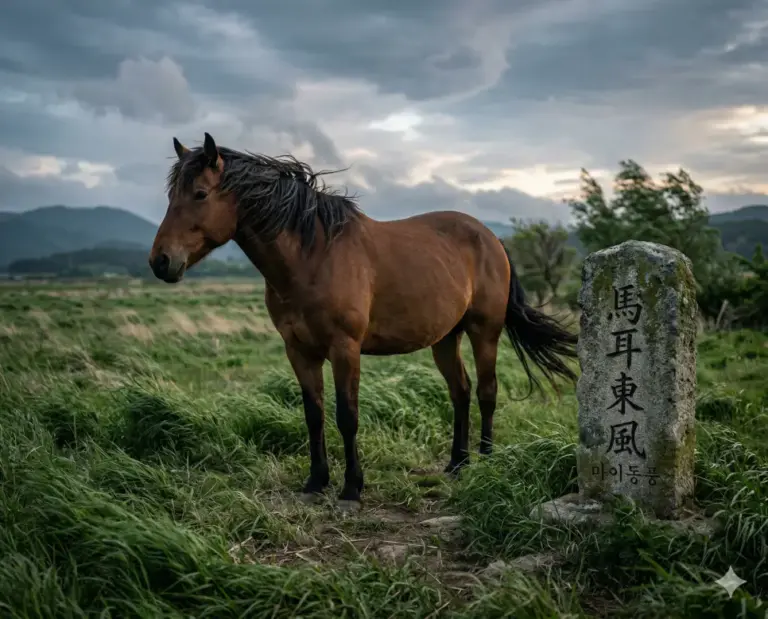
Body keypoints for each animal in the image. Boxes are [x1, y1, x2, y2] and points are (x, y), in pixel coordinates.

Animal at [149, 132, 578, 507]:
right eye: (171, 196)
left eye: (200, 194)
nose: (161, 261)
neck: (313, 257)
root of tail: (491, 237)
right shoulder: (298, 351)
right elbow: (314, 415)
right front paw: (315, 482)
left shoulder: (345, 349)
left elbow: (347, 416)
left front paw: (352, 489)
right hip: (445, 338)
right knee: (461, 390)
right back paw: (457, 463)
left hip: (483, 331)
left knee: (487, 391)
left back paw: (487, 462)